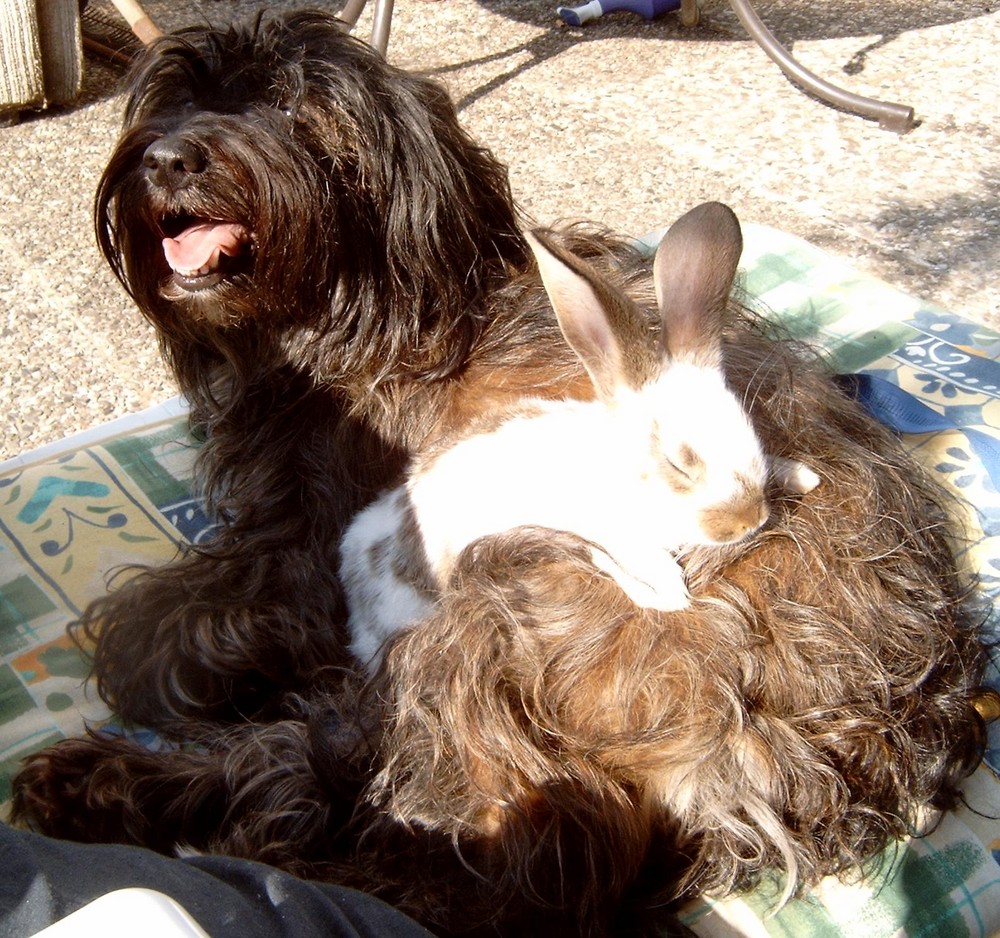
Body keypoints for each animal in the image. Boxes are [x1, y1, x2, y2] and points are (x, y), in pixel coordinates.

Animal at [340, 202, 816, 668]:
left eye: (749, 432)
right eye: (680, 463)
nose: (750, 520)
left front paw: (802, 475)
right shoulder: (613, 529)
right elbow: (649, 573)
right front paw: (668, 586)